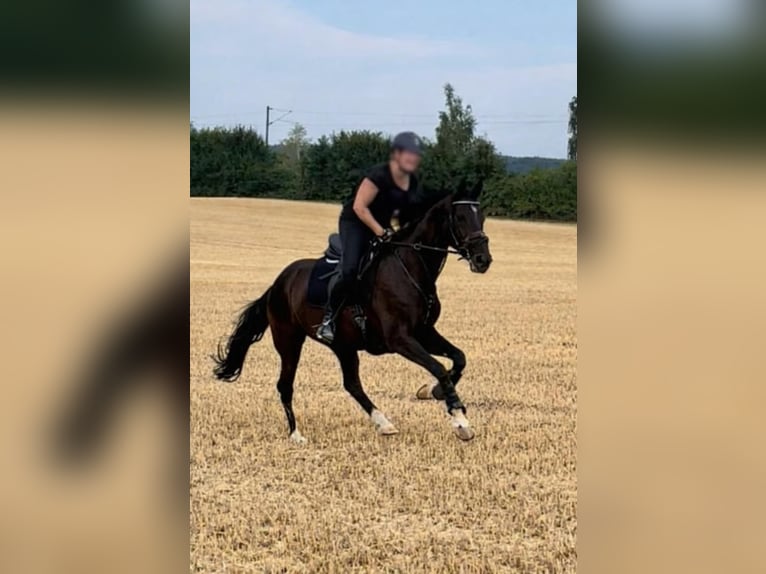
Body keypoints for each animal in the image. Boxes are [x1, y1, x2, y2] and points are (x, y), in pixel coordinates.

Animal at [212, 180, 492, 441]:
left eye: (482, 216)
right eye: (460, 217)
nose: (483, 260)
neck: (410, 269)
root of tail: (277, 284)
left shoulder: (424, 332)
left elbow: (458, 358)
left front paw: (432, 391)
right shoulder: (400, 339)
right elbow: (439, 367)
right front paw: (460, 421)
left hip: (343, 345)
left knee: (352, 384)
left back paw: (383, 423)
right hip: (289, 340)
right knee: (286, 385)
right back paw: (296, 434)